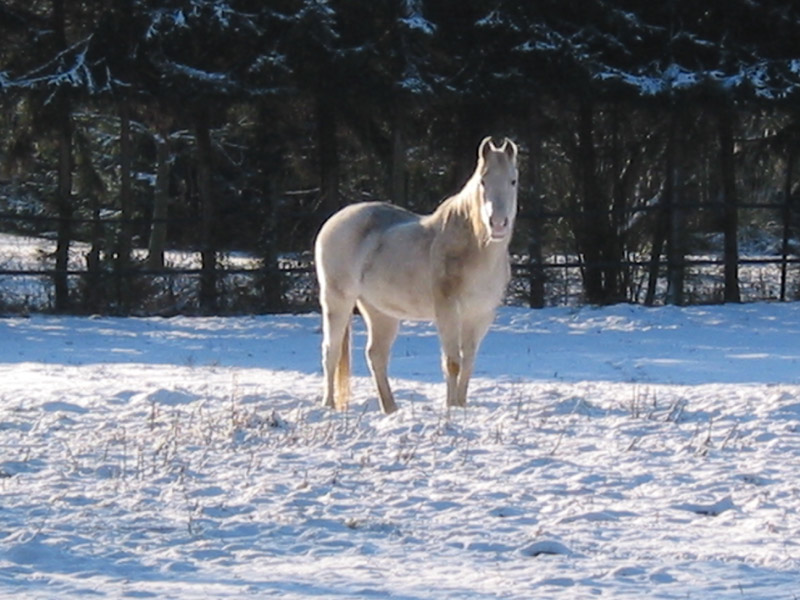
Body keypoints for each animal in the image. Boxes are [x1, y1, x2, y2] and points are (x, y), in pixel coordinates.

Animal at [312, 136, 520, 412]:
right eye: (483, 181)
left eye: (513, 180)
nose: (497, 224)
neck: (474, 249)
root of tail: (333, 221)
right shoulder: (447, 312)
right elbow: (452, 363)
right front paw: (451, 409)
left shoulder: (480, 316)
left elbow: (468, 362)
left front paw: (461, 406)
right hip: (337, 301)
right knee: (331, 352)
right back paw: (329, 405)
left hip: (380, 312)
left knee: (376, 355)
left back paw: (391, 409)